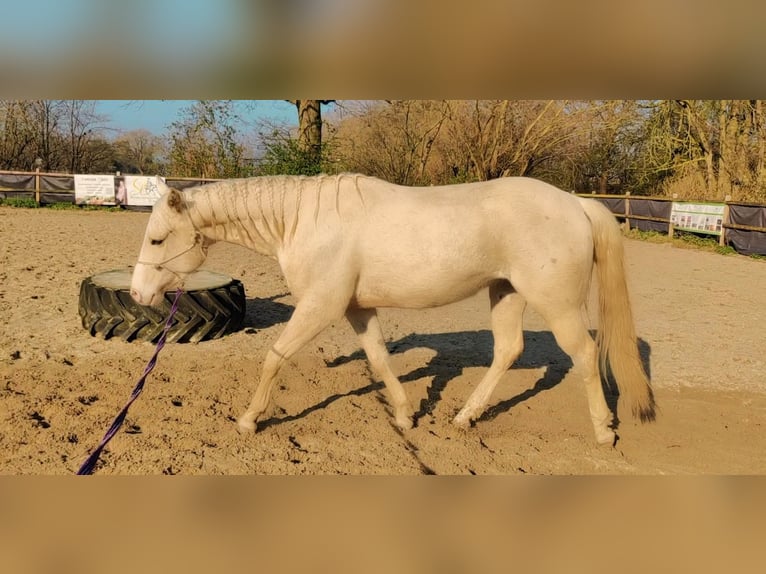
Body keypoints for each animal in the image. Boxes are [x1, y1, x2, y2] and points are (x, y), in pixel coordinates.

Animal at [130, 174, 655, 444]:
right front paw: (405, 418)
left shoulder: (320, 306)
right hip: (505, 292)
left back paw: (604, 432)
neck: (303, 221)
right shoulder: (356, 310)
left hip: (555, 303)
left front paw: (248, 420)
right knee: (508, 350)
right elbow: (381, 360)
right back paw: (465, 417)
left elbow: (275, 357)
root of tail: (576, 203)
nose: (137, 295)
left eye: (156, 239)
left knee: (584, 355)